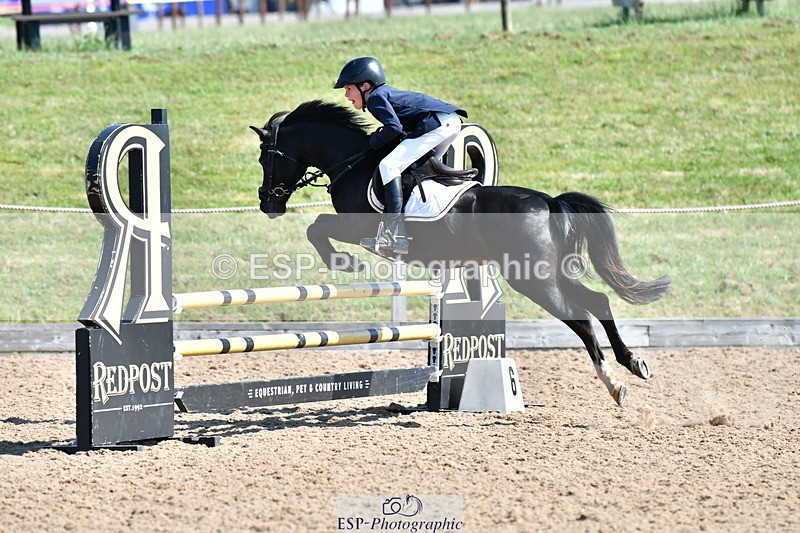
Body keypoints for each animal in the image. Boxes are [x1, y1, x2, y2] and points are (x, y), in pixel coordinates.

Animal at [250, 100, 670, 406]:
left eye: (265, 158)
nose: (267, 204)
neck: (353, 162)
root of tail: (550, 202)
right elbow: (316, 227)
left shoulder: (355, 226)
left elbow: (316, 227)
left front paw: (344, 261)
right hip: (550, 272)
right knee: (598, 300)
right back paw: (633, 363)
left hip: (533, 279)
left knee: (580, 317)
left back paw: (613, 383)